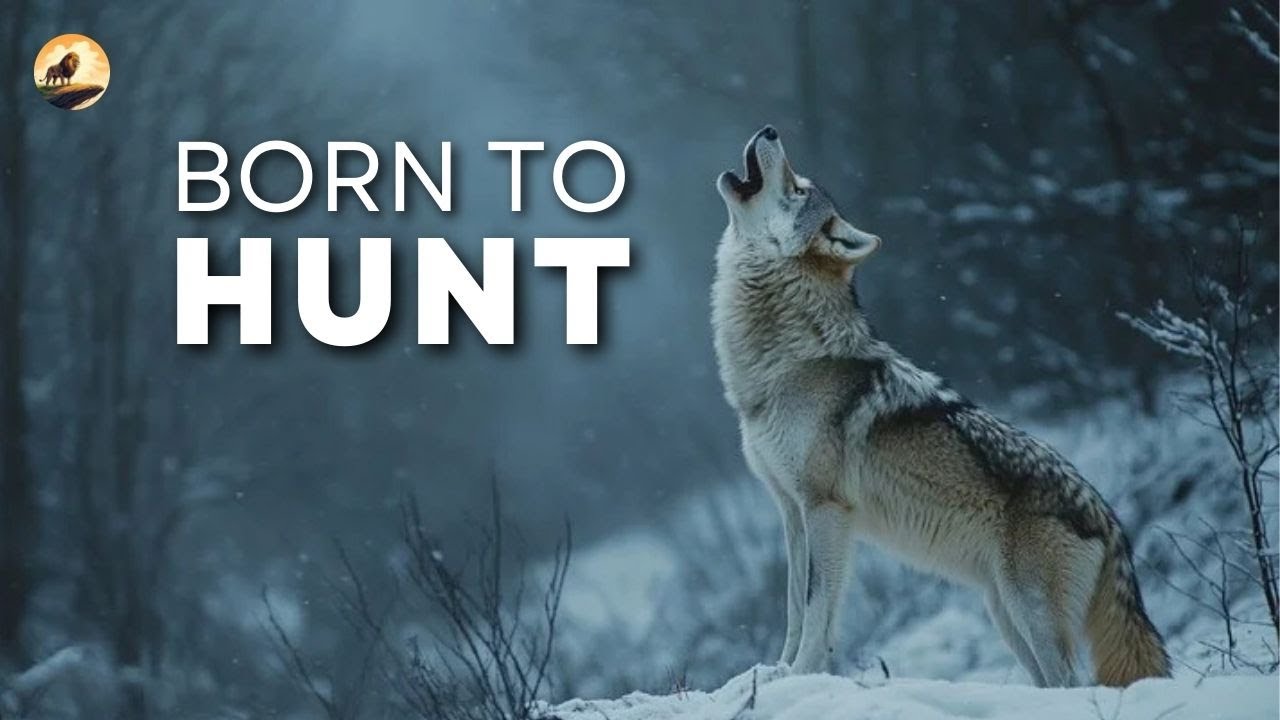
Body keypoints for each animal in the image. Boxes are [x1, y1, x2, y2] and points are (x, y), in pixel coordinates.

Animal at [710, 126, 1169, 687]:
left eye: (799, 189)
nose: (770, 130)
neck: (785, 359)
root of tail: (1110, 516)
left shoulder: (825, 509)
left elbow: (819, 610)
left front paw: (801, 674)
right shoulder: (790, 513)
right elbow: (795, 607)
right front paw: (775, 671)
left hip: (1029, 615)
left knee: (1070, 683)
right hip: (1005, 615)